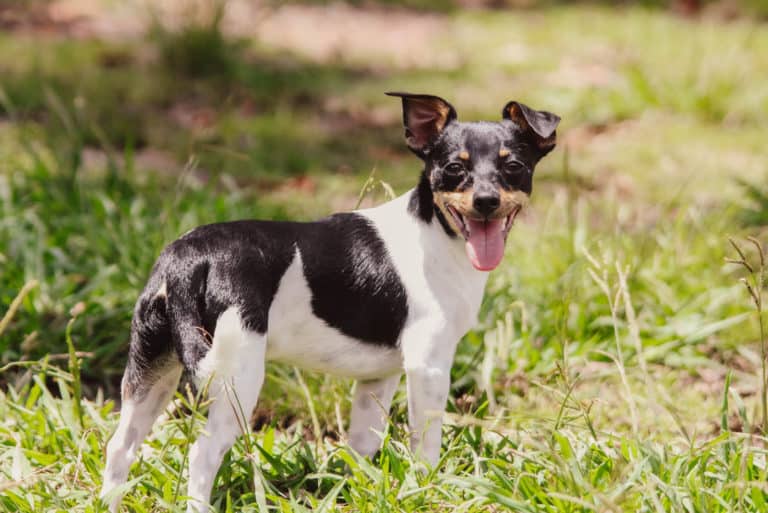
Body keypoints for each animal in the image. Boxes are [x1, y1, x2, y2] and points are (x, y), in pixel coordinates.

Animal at [100, 93, 560, 512]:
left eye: (513, 167)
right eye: (454, 169)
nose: (486, 201)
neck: (436, 232)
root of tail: (187, 258)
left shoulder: (378, 378)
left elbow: (361, 449)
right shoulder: (428, 367)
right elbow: (425, 447)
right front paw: (428, 491)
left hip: (151, 370)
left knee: (120, 445)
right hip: (235, 377)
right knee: (201, 455)